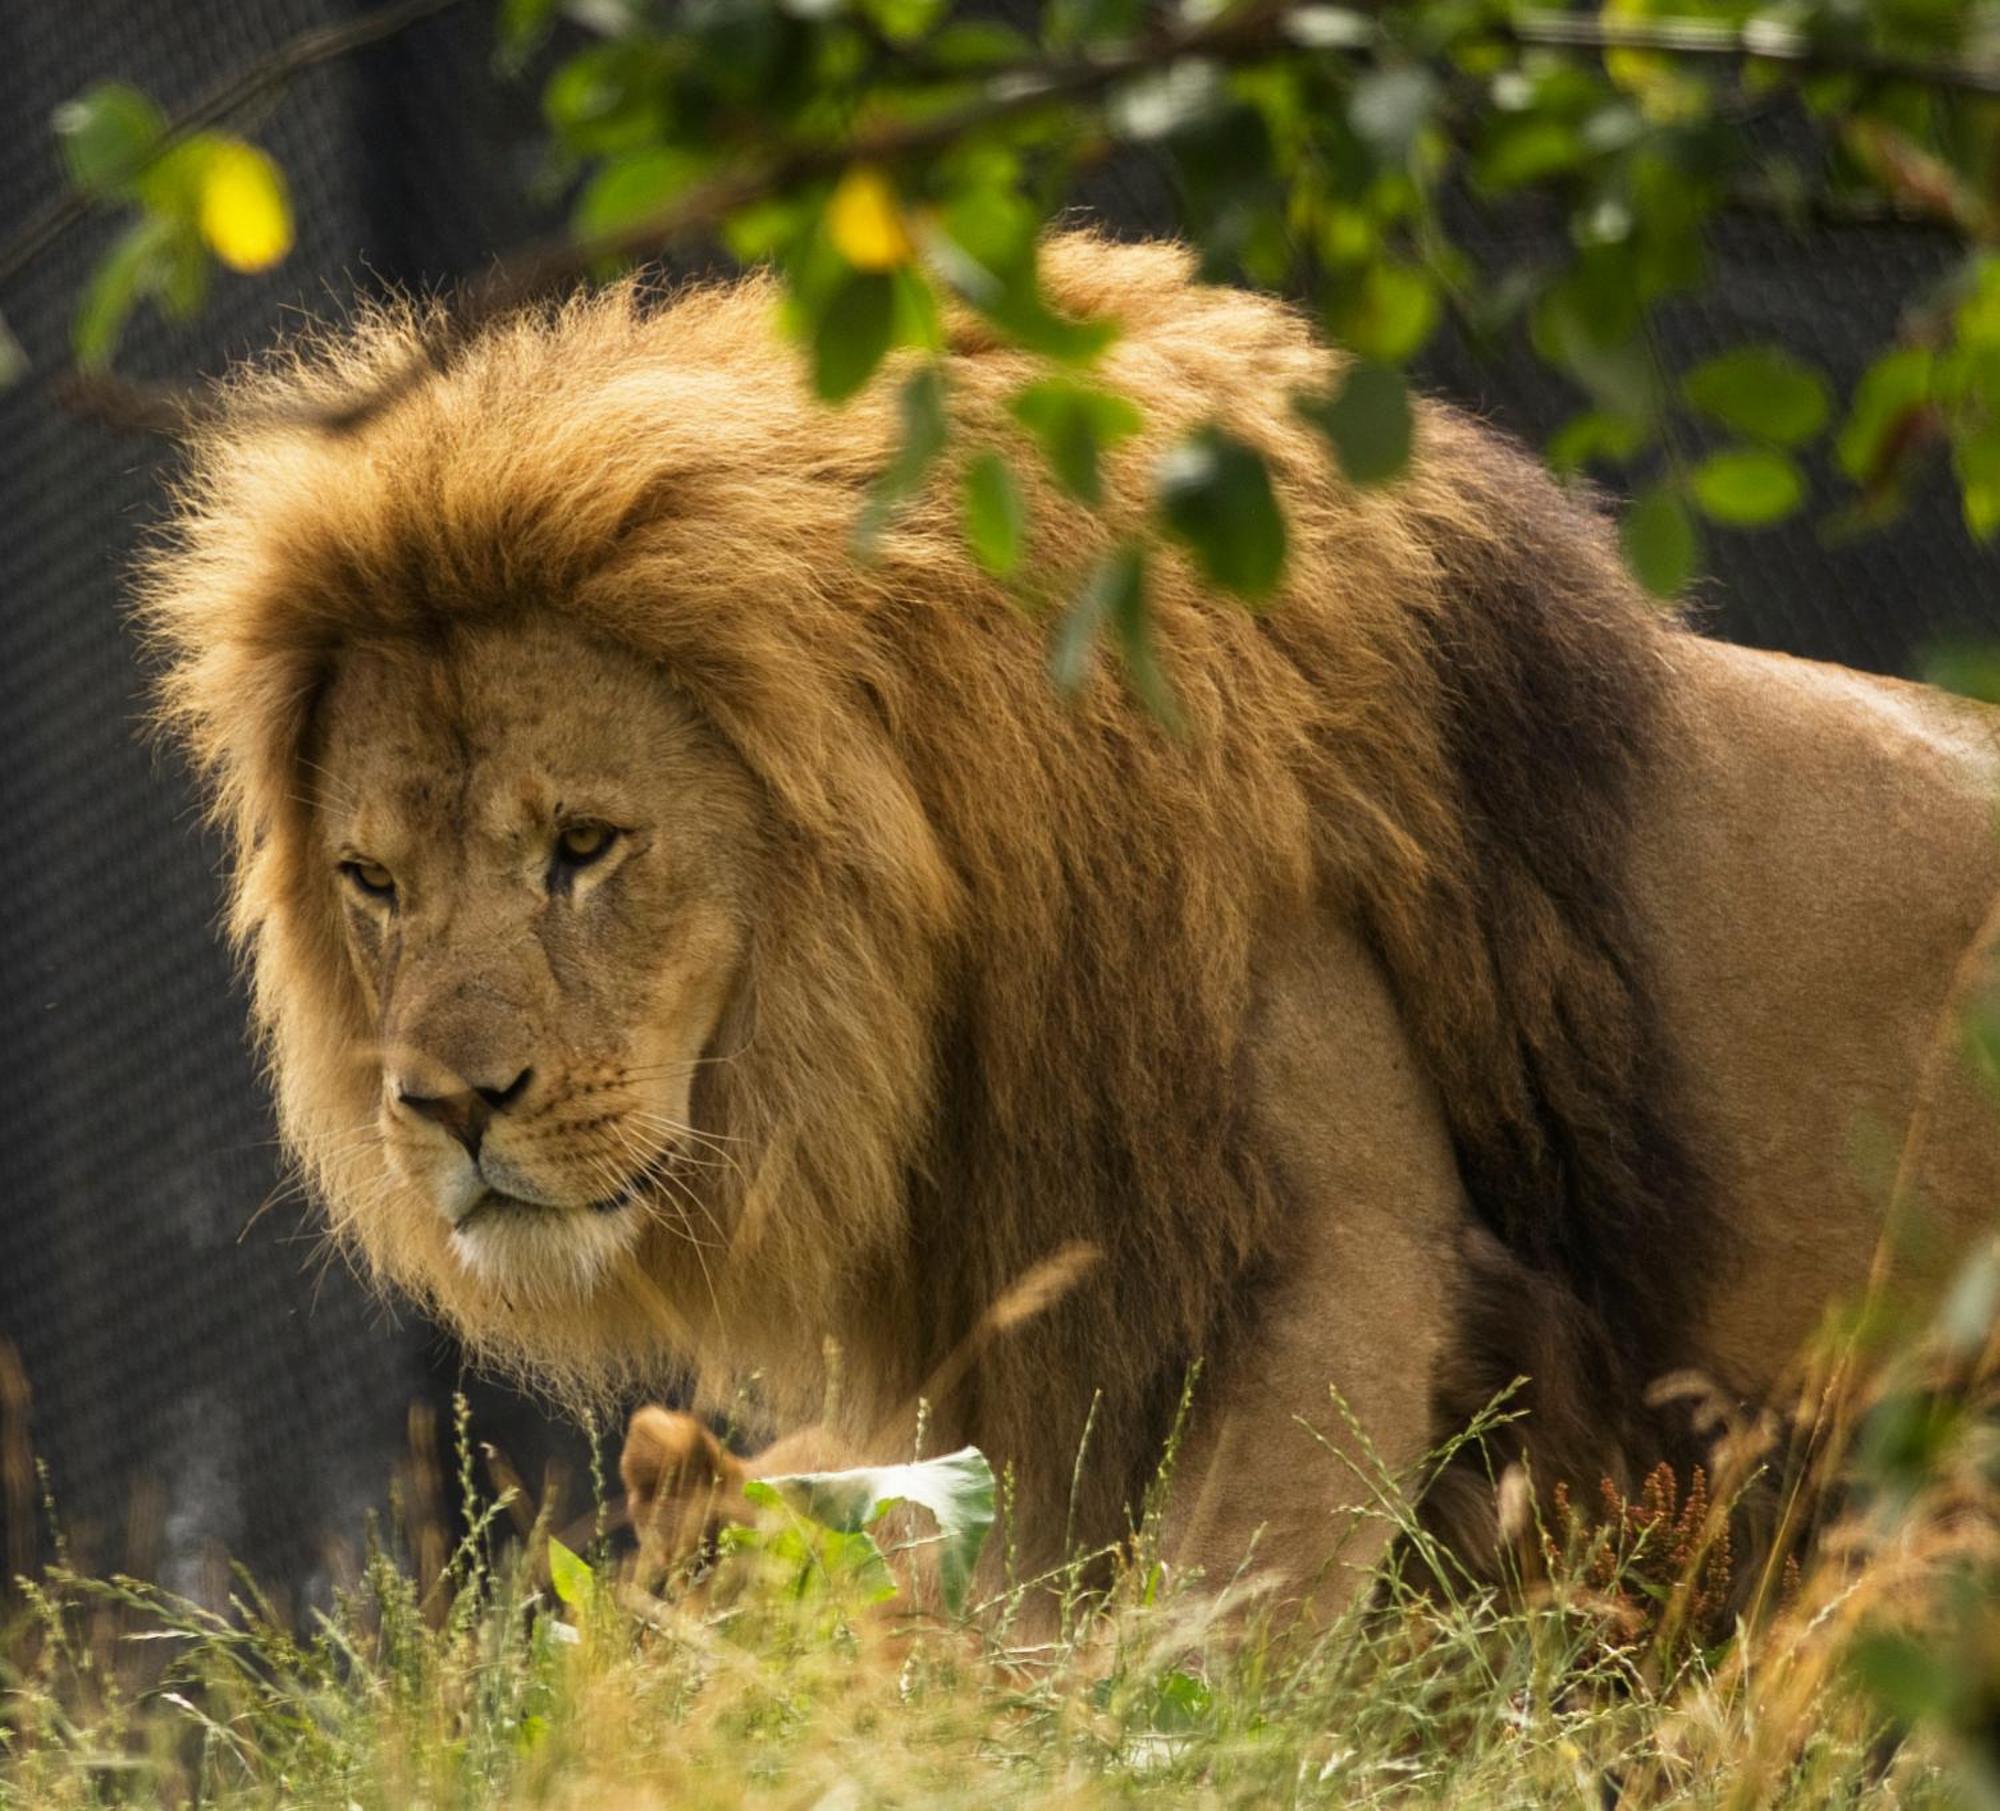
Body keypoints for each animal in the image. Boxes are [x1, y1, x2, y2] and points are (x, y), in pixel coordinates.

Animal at [137, 229, 2000, 1607]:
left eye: (584, 846)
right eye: (374, 883)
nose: (450, 1107)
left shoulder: (1350, 1252)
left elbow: (1206, 1634)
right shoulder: (1049, 1317)